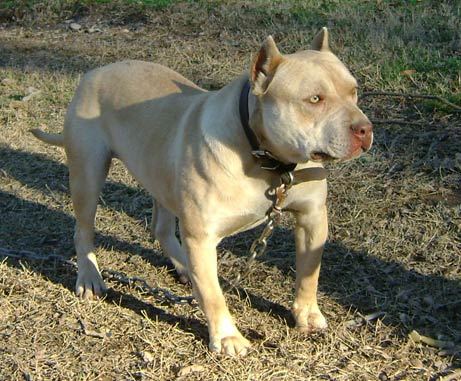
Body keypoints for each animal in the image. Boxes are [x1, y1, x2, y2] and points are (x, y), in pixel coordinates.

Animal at [31, 28, 370, 354]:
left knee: (161, 227)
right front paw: (227, 337)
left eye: (354, 91)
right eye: (314, 99)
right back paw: (89, 276)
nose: (365, 129)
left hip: (161, 175)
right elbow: (213, 294)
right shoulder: (202, 236)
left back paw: (183, 266)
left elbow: (309, 274)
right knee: (84, 229)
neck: (265, 159)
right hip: (88, 174)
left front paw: (307, 314)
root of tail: (95, 72)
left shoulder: (312, 218)